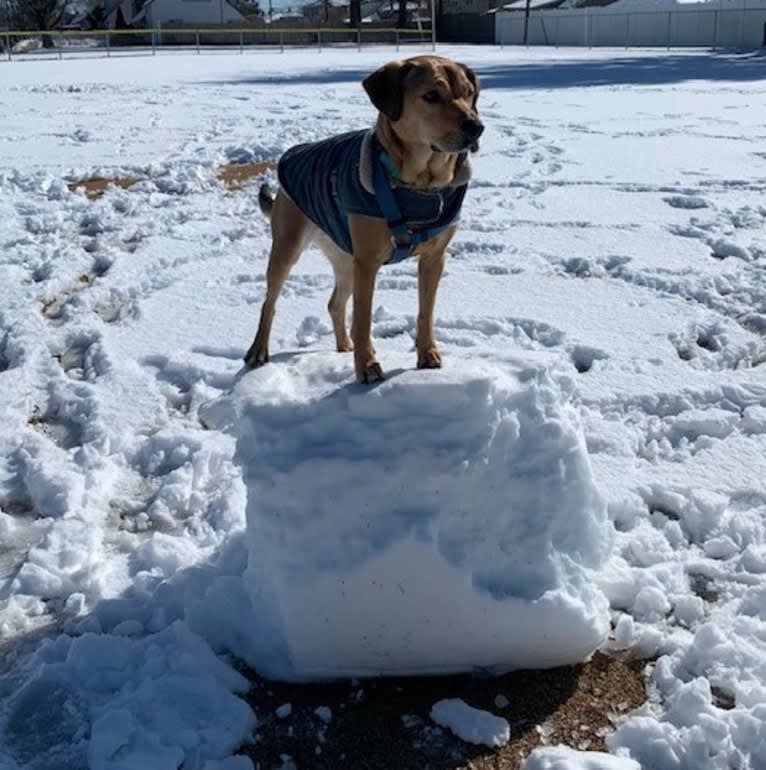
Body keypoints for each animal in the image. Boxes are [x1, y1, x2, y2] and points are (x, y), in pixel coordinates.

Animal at [244, 52, 486, 382]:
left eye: (469, 93)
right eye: (431, 96)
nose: (476, 127)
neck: (420, 185)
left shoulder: (434, 257)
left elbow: (426, 311)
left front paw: (427, 354)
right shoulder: (368, 262)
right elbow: (363, 318)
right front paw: (367, 367)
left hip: (345, 255)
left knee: (334, 303)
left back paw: (343, 345)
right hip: (289, 244)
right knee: (269, 302)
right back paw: (258, 350)